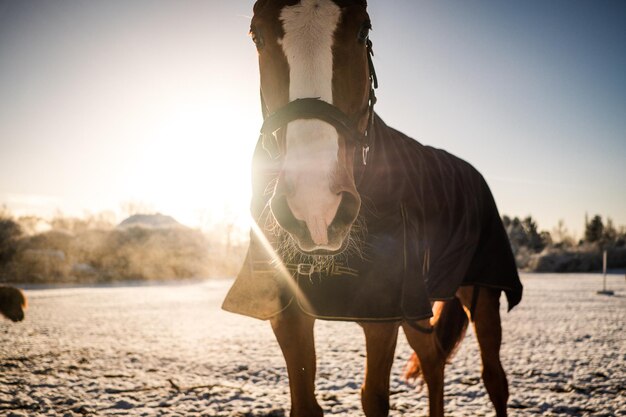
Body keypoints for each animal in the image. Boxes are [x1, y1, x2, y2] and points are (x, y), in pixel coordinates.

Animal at [222, 1, 520, 414]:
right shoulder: (288, 315)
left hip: (483, 294)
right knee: (433, 359)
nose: (317, 208)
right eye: (257, 35)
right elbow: (305, 402)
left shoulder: (383, 316)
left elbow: (374, 397)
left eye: (363, 31)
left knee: (494, 378)